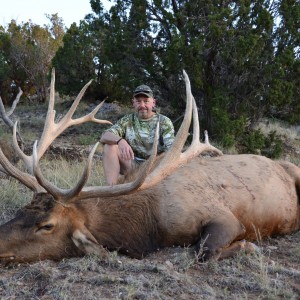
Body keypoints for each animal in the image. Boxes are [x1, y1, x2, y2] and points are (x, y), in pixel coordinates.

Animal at [0, 68, 300, 264]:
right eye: (20, 211)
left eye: (47, 225)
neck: (148, 224)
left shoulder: (224, 216)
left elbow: (203, 252)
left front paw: (249, 247)